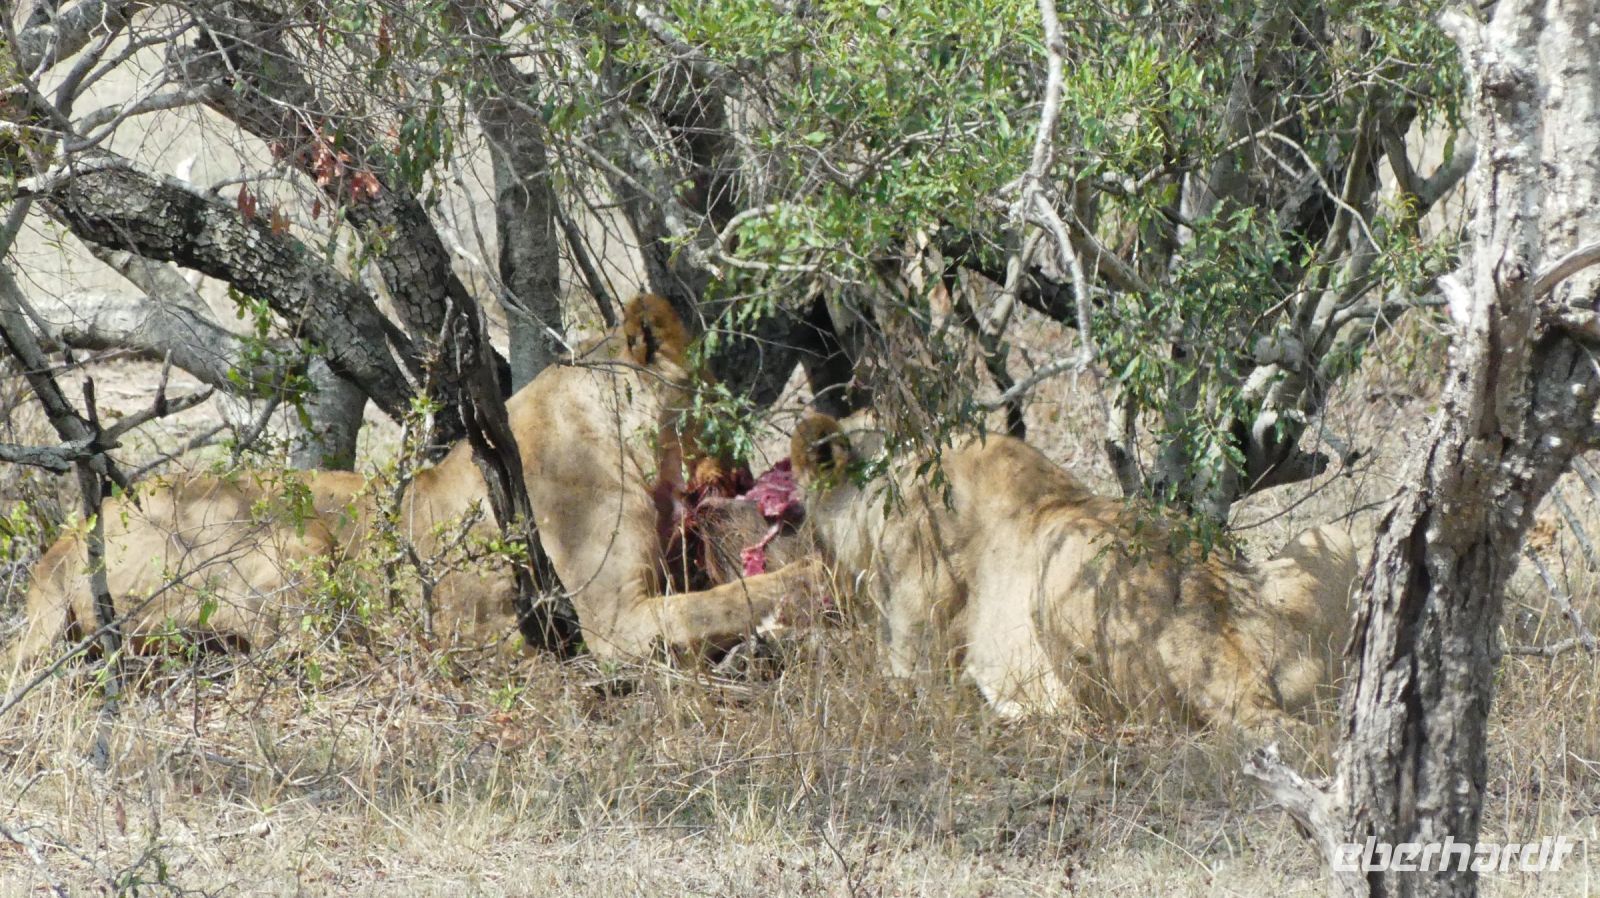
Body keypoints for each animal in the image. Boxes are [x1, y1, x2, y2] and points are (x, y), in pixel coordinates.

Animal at [6, 295, 819, 669]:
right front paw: (815, 579)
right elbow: (731, 601)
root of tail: (62, 548)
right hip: (297, 543)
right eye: (722, 401)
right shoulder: (613, 622)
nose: (747, 474)